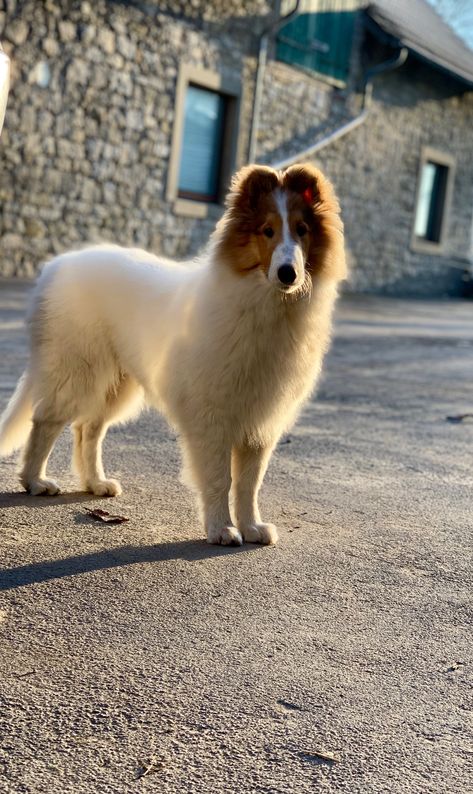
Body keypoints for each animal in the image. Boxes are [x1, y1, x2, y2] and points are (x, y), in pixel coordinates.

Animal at [0, 162, 346, 544]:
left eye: (302, 230)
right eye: (267, 231)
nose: (288, 273)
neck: (265, 301)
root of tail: (55, 267)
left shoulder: (259, 422)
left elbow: (248, 483)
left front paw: (252, 527)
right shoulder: (212, 416)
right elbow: (219, 478)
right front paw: (221, 529)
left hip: (117, 383)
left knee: (88, 427)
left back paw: (96, 483)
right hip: (76, 368)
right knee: (46, 421)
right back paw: (35, 481)